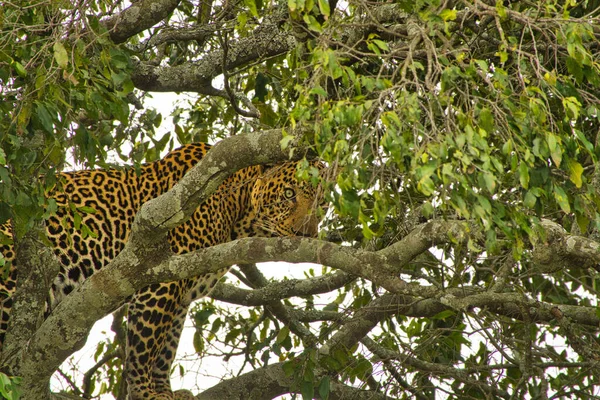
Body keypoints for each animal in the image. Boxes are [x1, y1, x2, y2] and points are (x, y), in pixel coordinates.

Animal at [0, 142, 326, 398]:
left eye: (321, 203)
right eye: (288, 194)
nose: (305, 233)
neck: (237, 209)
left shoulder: (181, 293)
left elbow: (165, 349)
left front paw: (165, 392)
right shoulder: (157, 280)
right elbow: (144, 346)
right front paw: (145, 393)